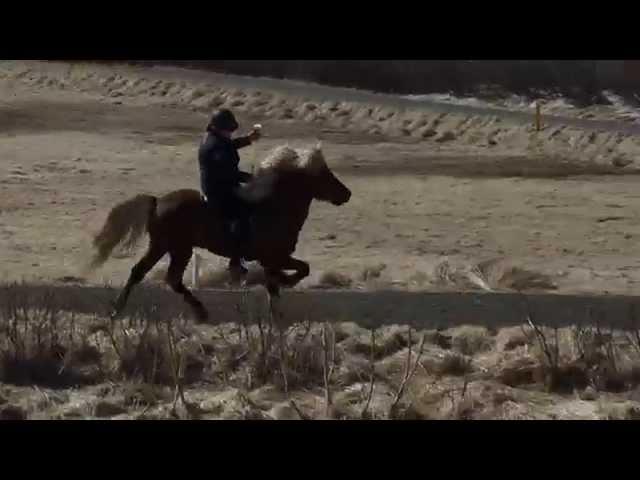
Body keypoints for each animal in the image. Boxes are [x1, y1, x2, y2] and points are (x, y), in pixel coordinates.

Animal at [88, 144, 352, 320]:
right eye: (324, 174)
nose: (347, 194)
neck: (274, 206)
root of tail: (157, 201)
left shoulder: (272, 260)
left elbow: (276, 286)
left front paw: (277, 310)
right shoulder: (274, 257)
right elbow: (300, 270)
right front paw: (287, 282)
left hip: (167, 247)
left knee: (148, 274)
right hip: (176, 248)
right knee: (164, 277)